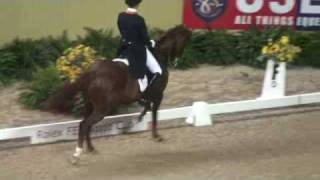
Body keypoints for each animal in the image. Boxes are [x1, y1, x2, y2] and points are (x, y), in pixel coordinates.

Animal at [46, 24, 191, 162]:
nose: (175, 61)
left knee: (86, 125)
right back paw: (76, 155)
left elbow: (146, 106)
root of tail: (93, 72)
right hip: (102, 109)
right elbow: (154, 113)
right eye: (184, 41)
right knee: (84, 125)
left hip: (90, 105)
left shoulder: (146, 95)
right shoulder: (158, 95)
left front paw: (138, 121)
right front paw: (156, 136)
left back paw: (91, 149)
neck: (158, 54)